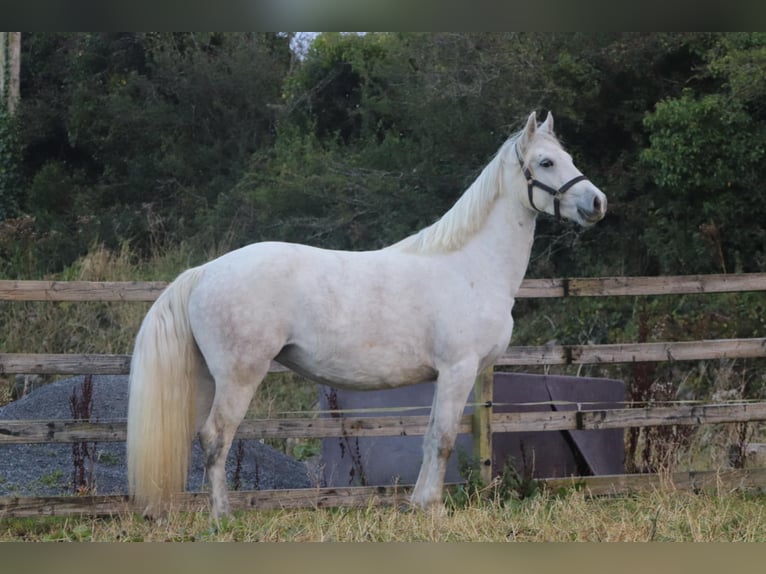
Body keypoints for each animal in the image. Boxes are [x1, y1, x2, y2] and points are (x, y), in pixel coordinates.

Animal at [127, 110, 608, 520]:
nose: (597, 203)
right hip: (239, 376)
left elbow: (430, 437)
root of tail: (205, 271)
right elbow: (443, 440)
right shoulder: (459, 369)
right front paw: (433, 508)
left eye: (568, 157)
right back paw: (222, 516)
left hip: (208, 377)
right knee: (216, 437)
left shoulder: (447, 375)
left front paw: (417, 504)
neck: (471, 265)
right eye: (546, 162)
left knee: (201, 436)